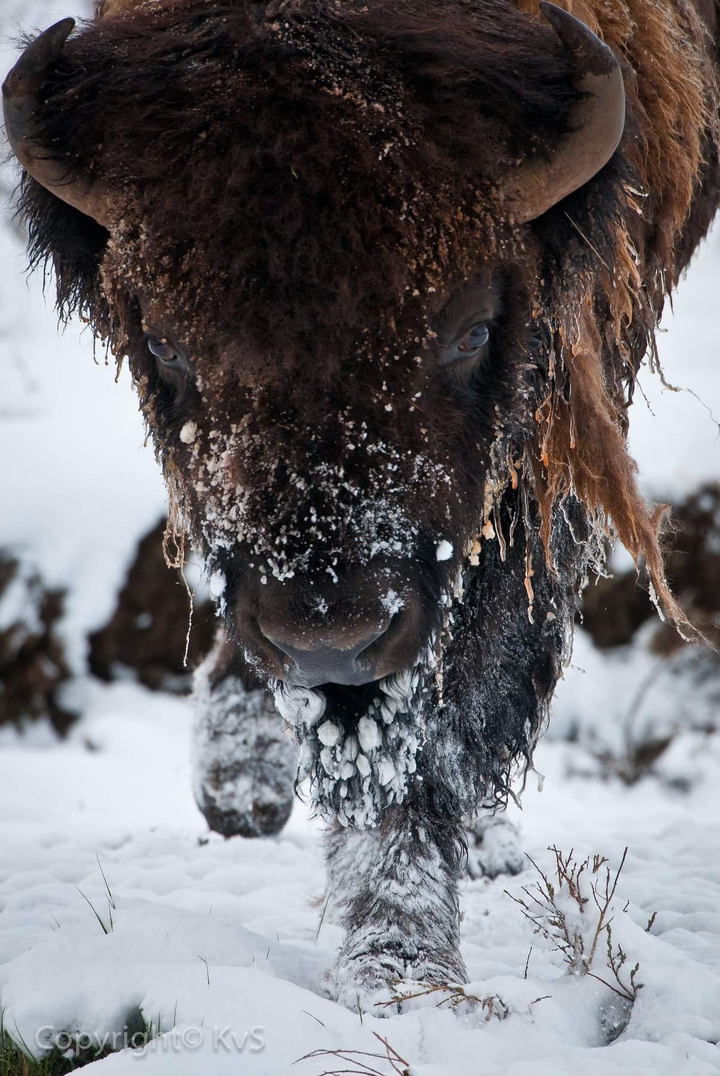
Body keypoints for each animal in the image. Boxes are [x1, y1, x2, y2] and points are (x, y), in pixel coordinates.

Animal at [4, 0, 719, 1009]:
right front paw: (396, 954)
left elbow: (447, 691)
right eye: (168, 346)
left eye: (471, 332)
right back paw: (242, 782)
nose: (327, 637)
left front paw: (405, 969)